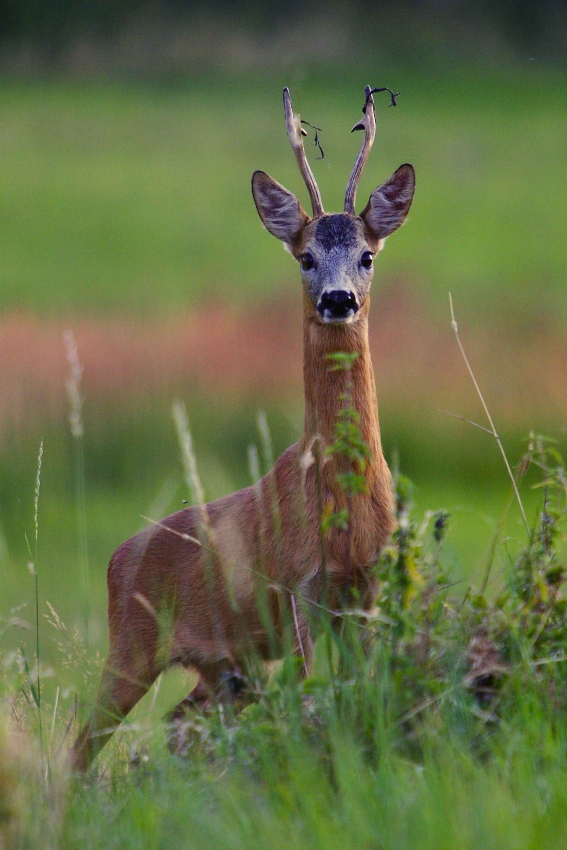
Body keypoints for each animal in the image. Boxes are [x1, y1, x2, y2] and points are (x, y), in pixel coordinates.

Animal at [71, 85, 415, 772]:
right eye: (306, 256)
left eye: (367, 255)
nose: (338, 299)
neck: (340, 496)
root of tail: (118, 558)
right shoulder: (299, 582)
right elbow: (313, 692)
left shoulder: (365, 586)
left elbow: (360, 689)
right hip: (132, 647)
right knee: (81, 746)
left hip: (229, 668)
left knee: (179, 723)